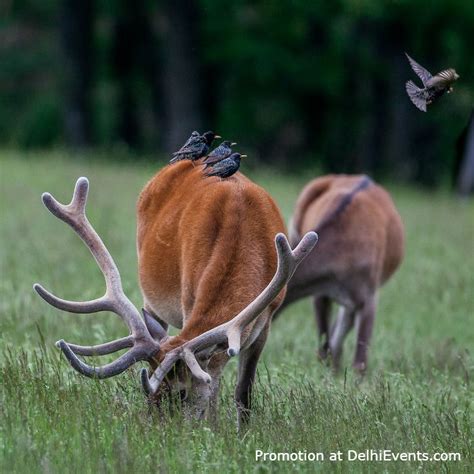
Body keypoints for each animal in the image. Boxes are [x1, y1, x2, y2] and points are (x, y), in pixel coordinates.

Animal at [33, 161, 318, 424]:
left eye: (181, 393)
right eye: (148, 391)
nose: (155, 430)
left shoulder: (266, 320)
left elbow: (241, 392)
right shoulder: (189, 299)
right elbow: (214, 384)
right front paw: (213, 430)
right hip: (151, 297)